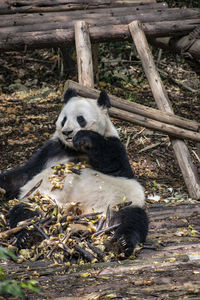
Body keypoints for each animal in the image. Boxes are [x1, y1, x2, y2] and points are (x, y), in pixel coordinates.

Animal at [0, 89, 148, 255]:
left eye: (80, 119)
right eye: (64, 120)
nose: (67, 132)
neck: (75, 149)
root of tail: (80, 213)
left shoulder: (116, 147)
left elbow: (113, 162)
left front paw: (85, 137)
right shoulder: (51, 151)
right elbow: (25, 174)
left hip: (118, 204)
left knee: (133, 219)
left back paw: (122, 243)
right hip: (40, 199)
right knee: (25, 214)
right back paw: (28, 236)